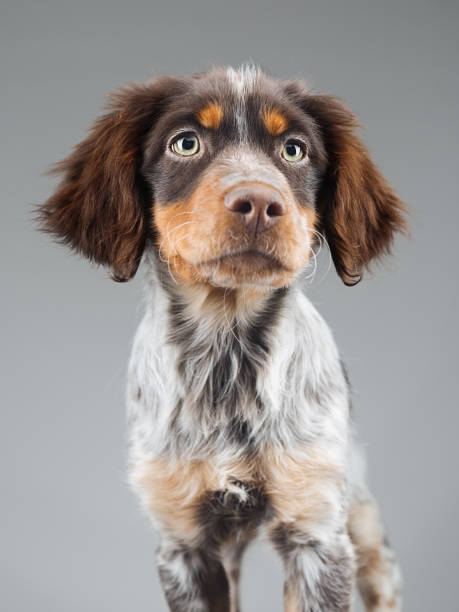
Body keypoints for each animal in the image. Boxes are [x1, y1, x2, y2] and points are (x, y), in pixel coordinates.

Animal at [38, 65, 406, 612]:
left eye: (294, 149)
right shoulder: (184, 541)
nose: (259, 203)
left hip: (361, 520)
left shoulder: (317, 534)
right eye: (185, 142)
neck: (226, 350)